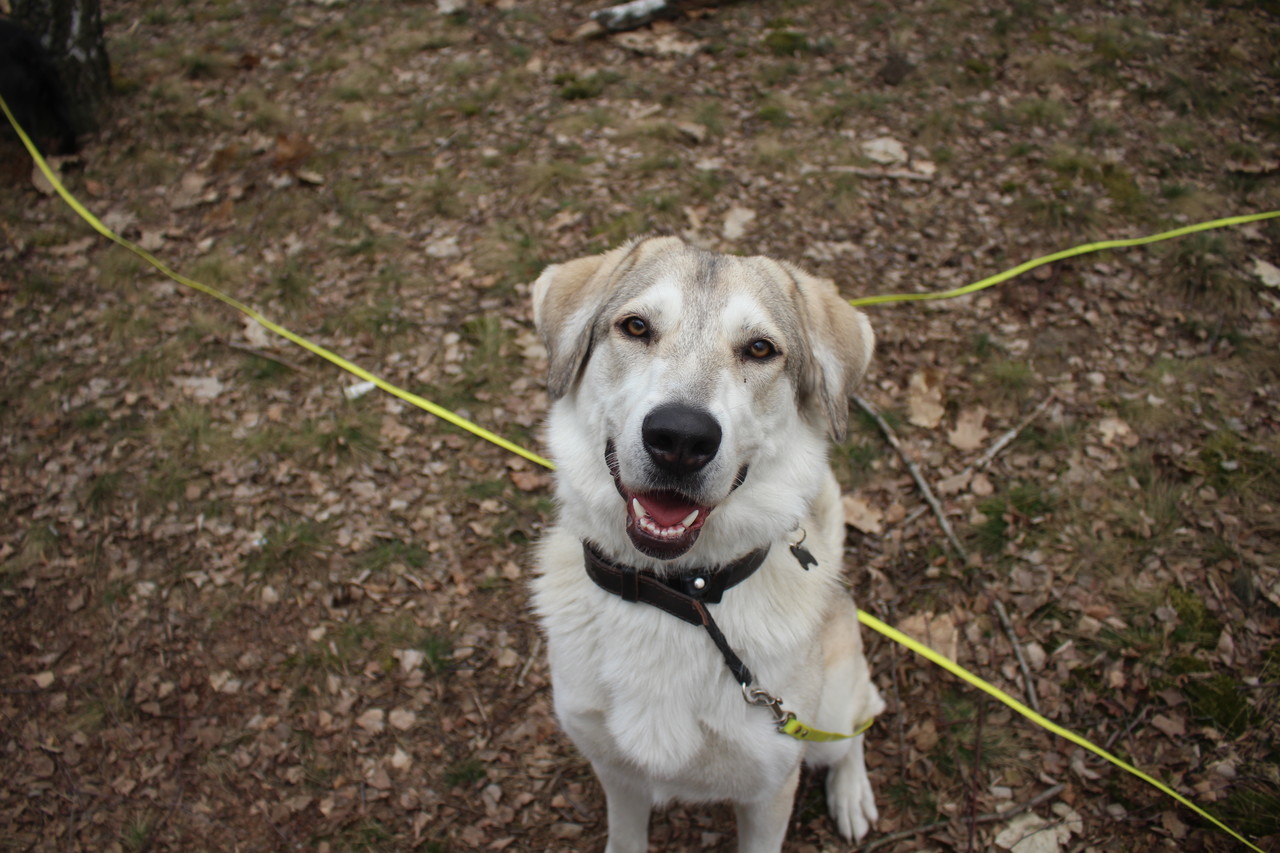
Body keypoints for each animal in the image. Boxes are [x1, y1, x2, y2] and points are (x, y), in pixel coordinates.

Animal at [531, 236, 885, 852]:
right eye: (636, 327)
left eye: (761, 348)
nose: (679, 437)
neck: (674, 597)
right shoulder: (615, 771)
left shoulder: (770, 790)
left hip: (833, 711)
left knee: (858, 729)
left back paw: (851, 793)